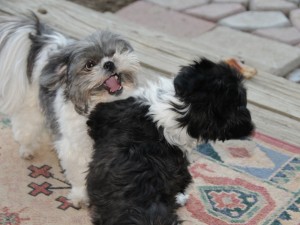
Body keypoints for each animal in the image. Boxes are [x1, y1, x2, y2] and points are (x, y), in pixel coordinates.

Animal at [0, 14, 140, 207]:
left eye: (114, 52)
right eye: (90, 64)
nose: (109, 63)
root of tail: (46, 41)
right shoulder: (77, 149)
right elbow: (80, 174)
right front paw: (81, 196)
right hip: (31, 111)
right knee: (25, 129)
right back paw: (27, 149)